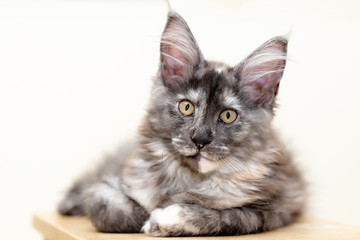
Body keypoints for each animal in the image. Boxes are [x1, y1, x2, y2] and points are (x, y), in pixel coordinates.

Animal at [57, 11, 306, 236]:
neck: (187, 178)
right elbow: (105, 204)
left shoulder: (268, 211)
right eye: (186, 107)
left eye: (228, 115)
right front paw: (143, 213)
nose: (200, 139)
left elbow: (215, 216)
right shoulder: (110, 182)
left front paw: (163, 219)